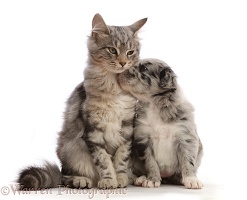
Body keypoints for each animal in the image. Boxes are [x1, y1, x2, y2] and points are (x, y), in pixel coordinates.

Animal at [18, 13, 149, 189]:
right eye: (112, 50)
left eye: (130, 52)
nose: (123, 63)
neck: (114, 87)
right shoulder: (93, 131)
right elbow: (104, 160)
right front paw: (109, 180)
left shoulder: (127, 128)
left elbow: (121, 158)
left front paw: (121, 178)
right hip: (71, 149)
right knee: (65, 177)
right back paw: (81, 180)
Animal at [118, 58, 204, 189]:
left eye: (144, 68)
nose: (120, 72)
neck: (155, 105)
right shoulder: (143, 138)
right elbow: (150, 162)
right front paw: (152, 179)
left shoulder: (186, 137)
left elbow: (187, 161)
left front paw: (191, 179)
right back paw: (141, 178)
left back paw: (180, 179)